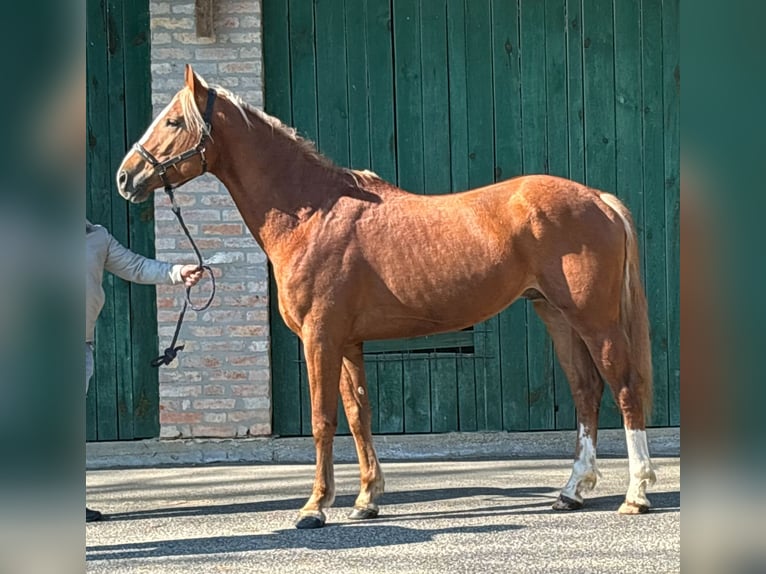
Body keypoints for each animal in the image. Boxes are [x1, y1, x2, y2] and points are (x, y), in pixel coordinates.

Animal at [117, 66, 656, 532]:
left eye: (172, 121)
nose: (125, 178)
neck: (312, 214)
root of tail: (598, 198)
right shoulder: (348, 342)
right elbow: (359, 415)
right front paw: (366, 499)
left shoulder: (320, 338)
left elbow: (323, 419)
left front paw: (315, 506)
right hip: (556, 315)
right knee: (586, 390)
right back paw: (571, 491)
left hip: (595, 320)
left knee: (624, 388)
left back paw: (636, 494)